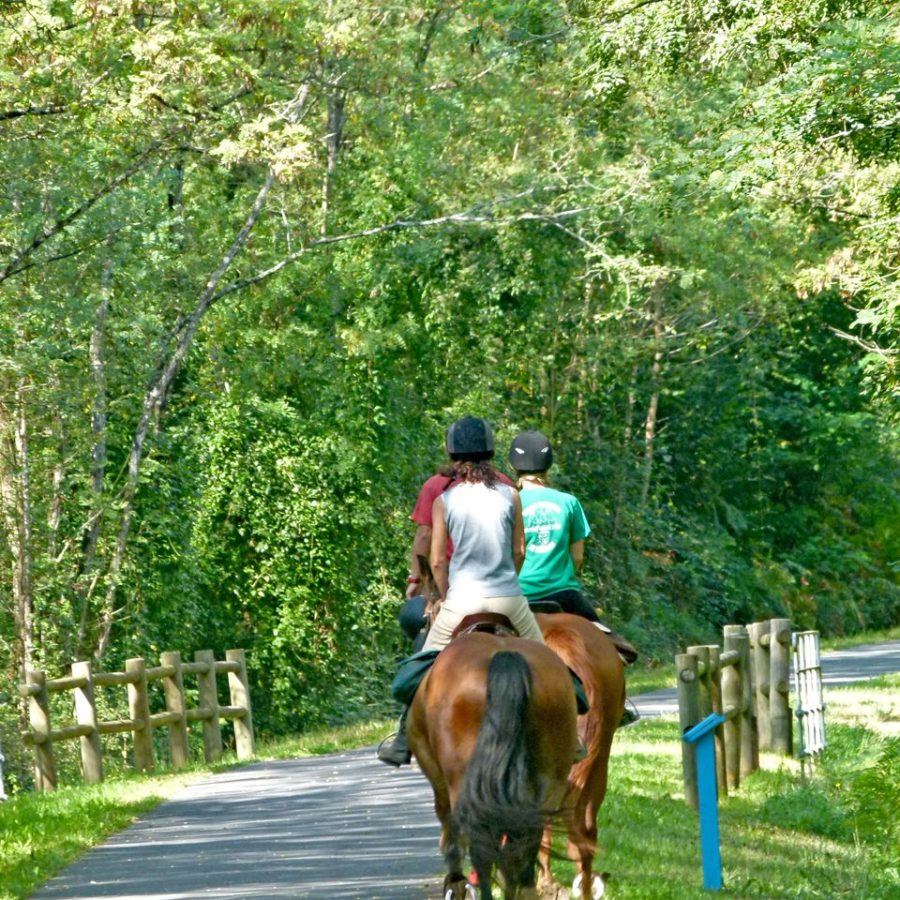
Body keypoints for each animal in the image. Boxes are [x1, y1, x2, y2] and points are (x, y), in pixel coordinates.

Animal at [406, 632, 576, 900]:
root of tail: (504, 655)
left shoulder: (441, 784)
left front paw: (456, 882)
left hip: (462, 782)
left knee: (481, 846)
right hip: (550, 779)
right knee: (525, 841)